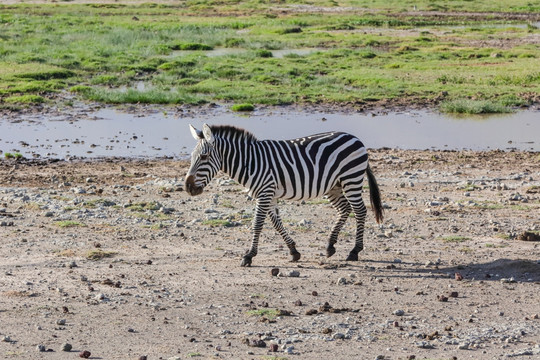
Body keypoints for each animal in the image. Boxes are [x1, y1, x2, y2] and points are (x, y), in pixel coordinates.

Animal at [186, 124, 384, 268]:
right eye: (192, 157)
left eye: (204, 157)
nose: (188, 187)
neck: (250, 162)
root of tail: (354, 138)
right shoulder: (268, 194)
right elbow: (276, 223)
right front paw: (294, 251)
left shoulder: (265, 192)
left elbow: (257, 224)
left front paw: (249, 256)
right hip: (333, 186)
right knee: (345, 209)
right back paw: (330, 246)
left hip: (351, 179)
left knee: (360, 210)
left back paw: (354, 251)